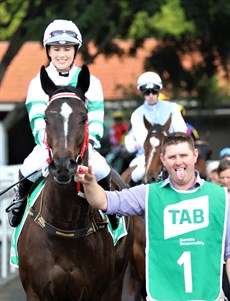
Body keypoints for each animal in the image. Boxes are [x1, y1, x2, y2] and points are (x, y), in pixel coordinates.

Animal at [17, 64, 133, 298]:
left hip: (116, 281)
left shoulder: (94, 291)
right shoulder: (35, 292)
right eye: (46, 118)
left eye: (83, 117)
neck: (65, 225)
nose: (63, 166)